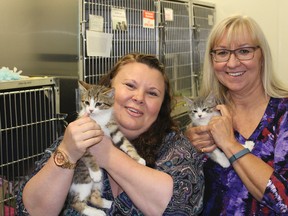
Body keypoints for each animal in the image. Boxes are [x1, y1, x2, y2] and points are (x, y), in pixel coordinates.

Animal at [68, 81, 146, 216]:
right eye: (86, 102)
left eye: (99, 103)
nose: (91, 110)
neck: (99, 119)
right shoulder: (83, 137)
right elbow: (88, 154)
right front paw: (95, 171)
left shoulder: (113, 128)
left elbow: (125, 143)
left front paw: (138, 159)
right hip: (83, 179)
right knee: (76, 203)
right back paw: (96, 211)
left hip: (97, 183)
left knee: (93, 197)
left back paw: (110, 204)